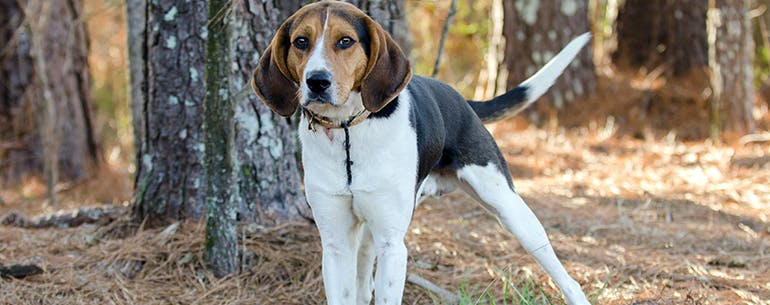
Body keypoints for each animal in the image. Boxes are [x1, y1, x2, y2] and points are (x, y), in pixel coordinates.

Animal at [254, 1, 592, 302]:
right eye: (301, 41)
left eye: (345, 41)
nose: (317, 81)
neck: (349, 128)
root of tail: (461, 99)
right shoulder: (336, 244)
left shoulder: (393, 246)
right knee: (363, 277)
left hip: (510, 209)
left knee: (566, 277)